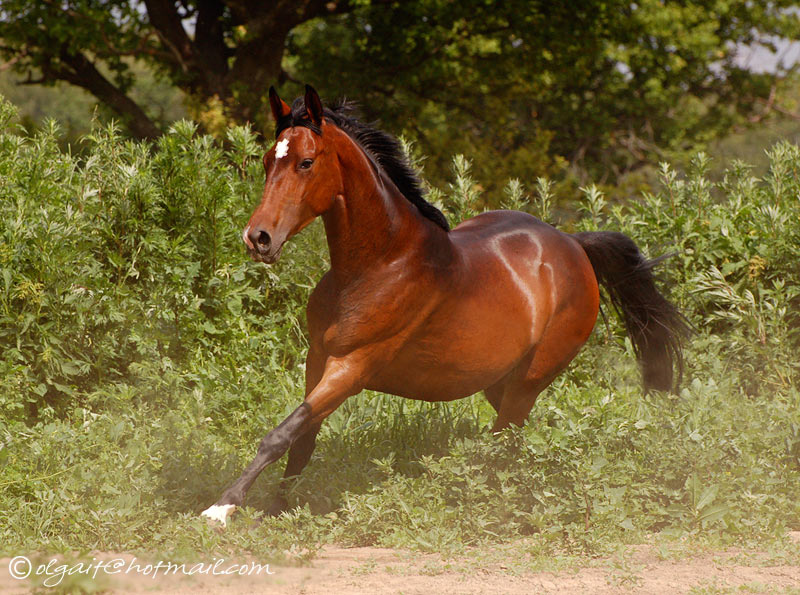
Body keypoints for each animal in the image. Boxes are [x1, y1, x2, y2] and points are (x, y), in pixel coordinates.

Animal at [201, 85, 688, 526]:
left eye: (306, 162)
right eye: (268, 161)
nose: (258, 238)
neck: (378, 265)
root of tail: (573, 244)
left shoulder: (353, 367)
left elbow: (279, 434)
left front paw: (221, 508)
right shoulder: (317, 359)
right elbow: (301, 439)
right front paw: (275, 510)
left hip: (531, 379)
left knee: (504, 439)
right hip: (499, 381)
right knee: (512, 438)